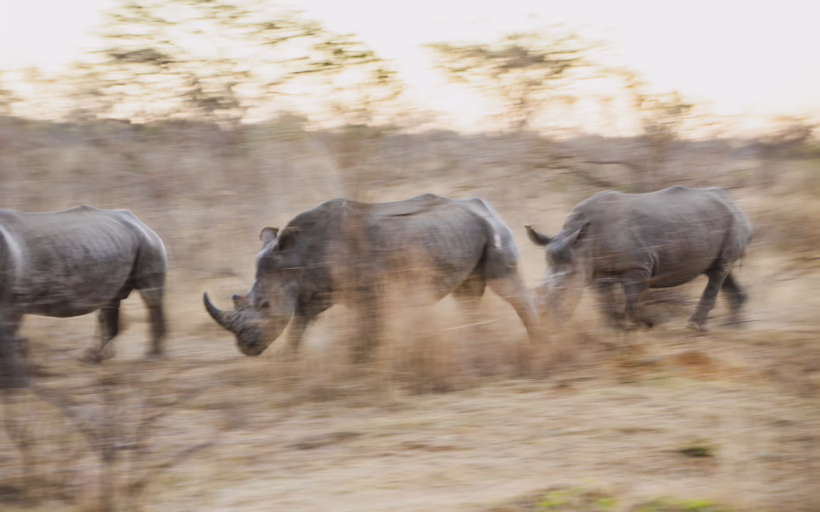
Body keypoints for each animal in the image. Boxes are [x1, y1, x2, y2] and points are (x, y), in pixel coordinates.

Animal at [0, 205, 168, 387]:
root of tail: (140, 222)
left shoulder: (11, 298)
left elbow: (7, 335)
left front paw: (17, 384)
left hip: (148, 244)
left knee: (151, 298)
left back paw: (153, 357)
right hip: (118, 244)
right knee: (110, 302)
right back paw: (93, 358)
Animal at [204, 194, 539, 361]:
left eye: (264, 306)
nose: (246, 348)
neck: (294, 256)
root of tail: (488, 207)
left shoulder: (368, 295)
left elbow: (369, 332)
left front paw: (363, 364)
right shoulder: (314, 291)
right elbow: (299, 324)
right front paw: (290, 359)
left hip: (494, 230)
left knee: (506, 286)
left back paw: (539, 342)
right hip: (460, 233)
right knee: (468, 295)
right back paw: (476, 343)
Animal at [525, 186, 753, 331]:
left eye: (563, 292)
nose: (547, 323)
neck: (581, 243)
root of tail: (733, 202)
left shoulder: (637, 268)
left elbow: (632, 303)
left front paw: (648, 324)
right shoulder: (596, 271)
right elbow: (605, 303)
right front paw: (615, 329)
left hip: (733, 221)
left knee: (718, 272)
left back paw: (694, 327)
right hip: (712, 223)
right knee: (721, 270)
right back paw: (735, 325)